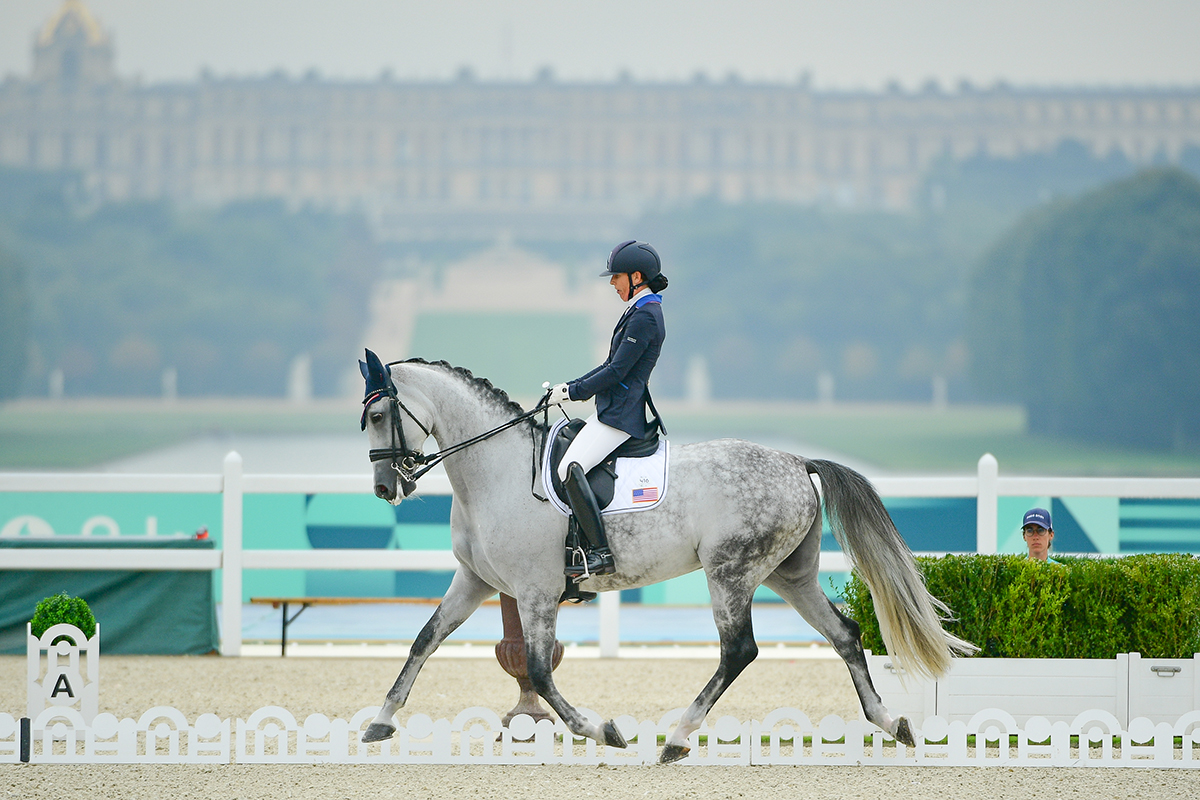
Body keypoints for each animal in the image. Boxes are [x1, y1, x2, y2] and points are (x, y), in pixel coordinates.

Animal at [357, 352, 974, 762]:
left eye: (381, 416)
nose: (387, 488)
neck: (497, 471)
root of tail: (797, 461)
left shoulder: (534, 592)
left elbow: (538, 668)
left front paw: (599, 729)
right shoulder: (475, 582)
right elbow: (424, 640)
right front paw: (381, 722)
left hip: (730, 572)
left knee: (739, 650)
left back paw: (676, 738)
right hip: (787, 575)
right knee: (844, 633)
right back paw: (890, 722)